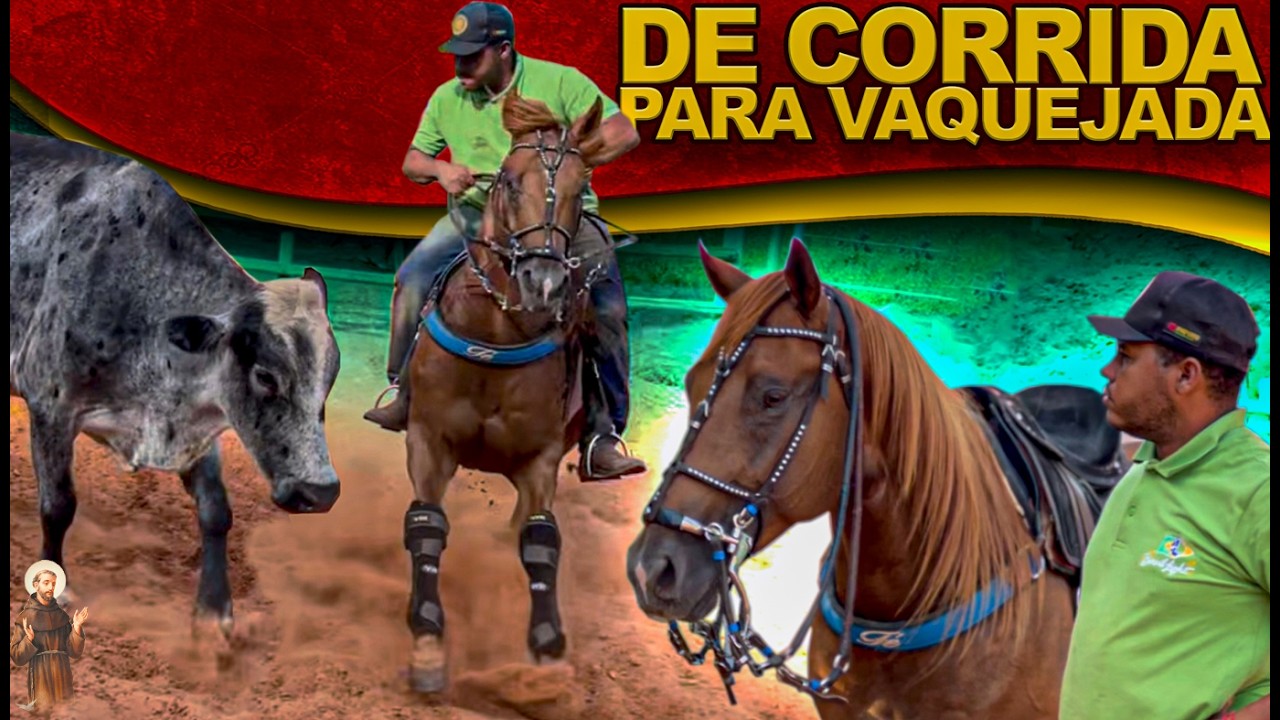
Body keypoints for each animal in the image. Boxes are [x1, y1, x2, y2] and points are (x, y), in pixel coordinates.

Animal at [395, 92, 617, 693]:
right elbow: (427, 525)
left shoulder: (541, 458)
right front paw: (427, 642)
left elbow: (540, 542)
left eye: (581, 186)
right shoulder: (428, 440)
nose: (543, 283)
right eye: (511, 183)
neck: (495, 334)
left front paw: (546, 649)